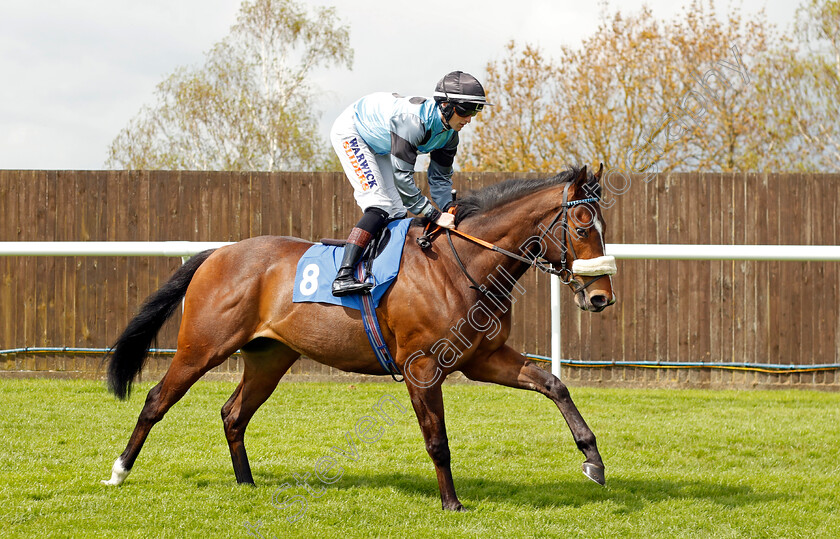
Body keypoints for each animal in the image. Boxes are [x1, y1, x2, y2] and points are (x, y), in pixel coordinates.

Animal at [103, 163, 616, 510]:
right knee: (156, 399)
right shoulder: (422, 366)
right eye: (582, 227)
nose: (600, 297)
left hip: (269, 357)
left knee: (233, 414)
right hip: (201, 347)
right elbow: (437, 438)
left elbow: (553, 384)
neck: (459, 266)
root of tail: (218, 252)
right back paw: (119, 471)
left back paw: (246, 482)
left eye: (603, 226)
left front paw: (593, 459)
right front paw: (451, 503)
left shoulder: (482, 358)